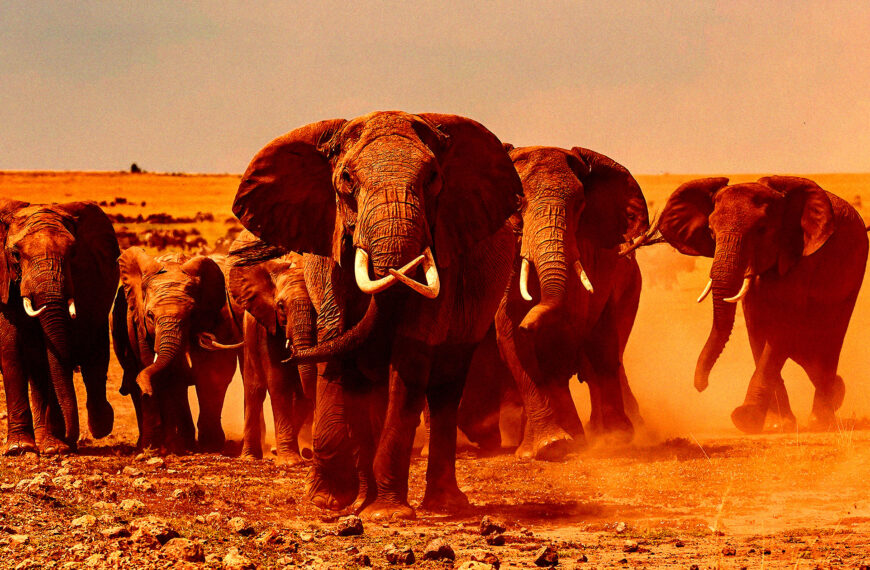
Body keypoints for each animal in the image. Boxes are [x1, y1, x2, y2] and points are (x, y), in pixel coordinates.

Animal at [0, 198, 119, 455]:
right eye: (15, 255)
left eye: (73, 254)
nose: (70, 439)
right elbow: (11, 348)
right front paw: (19, 448)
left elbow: (48, 357)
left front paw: (54, 448)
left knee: (94, 358)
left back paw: (96, 427)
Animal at [111, 248, 243, 452]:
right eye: (150, 315)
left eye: (191, 314)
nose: (147, 391)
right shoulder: (139, 324)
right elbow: (162, 375)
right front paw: (158, 447)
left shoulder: (218, 317)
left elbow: (213, 374)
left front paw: (210, 446)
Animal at [226, 230, 316, 466]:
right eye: (281, 306)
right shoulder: (267, 326)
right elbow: (278, 381)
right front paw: (291, 461)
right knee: (254, 390)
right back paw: (250, 457)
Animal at [493, 145, 649, 461]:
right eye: (518, 201)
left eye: (580, 204)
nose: (529, 324)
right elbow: (509, 334)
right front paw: (548, 446)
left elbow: (585, 334)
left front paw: (602, 440)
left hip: (630, 285)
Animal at [656, 176, 868, 433]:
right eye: (711, 231)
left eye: (762, 230)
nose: (701, 386)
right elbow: (756, 330)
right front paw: (778, 424)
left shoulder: (800, 257)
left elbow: (781, 330)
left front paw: (745, 419)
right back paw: (836, 392)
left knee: (829, 336)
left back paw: (821, 419)